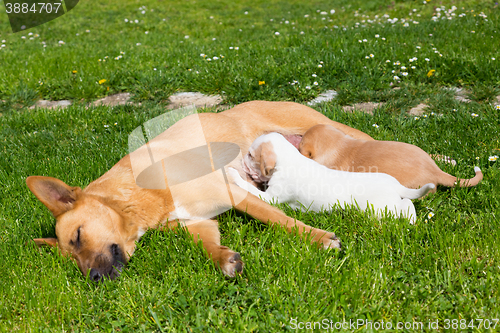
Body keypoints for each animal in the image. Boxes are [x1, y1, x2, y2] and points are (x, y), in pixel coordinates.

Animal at [25, 100, 374, 278]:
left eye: (77, 236)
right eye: (70, 258)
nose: (93, 278)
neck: (136, 200)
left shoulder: (230, 193)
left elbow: (277, 219)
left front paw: (319, 238)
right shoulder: (197, 223)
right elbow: (205, 246)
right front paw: (224, 259)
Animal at [229, 132, 436, 223]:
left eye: (250, 155)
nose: (242, 161)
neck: (288, 159)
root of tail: (395, 185)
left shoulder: (271, 198)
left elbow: (249, 189)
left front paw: (233, 174)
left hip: (380, 209)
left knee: (403, 206)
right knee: (407, 203)